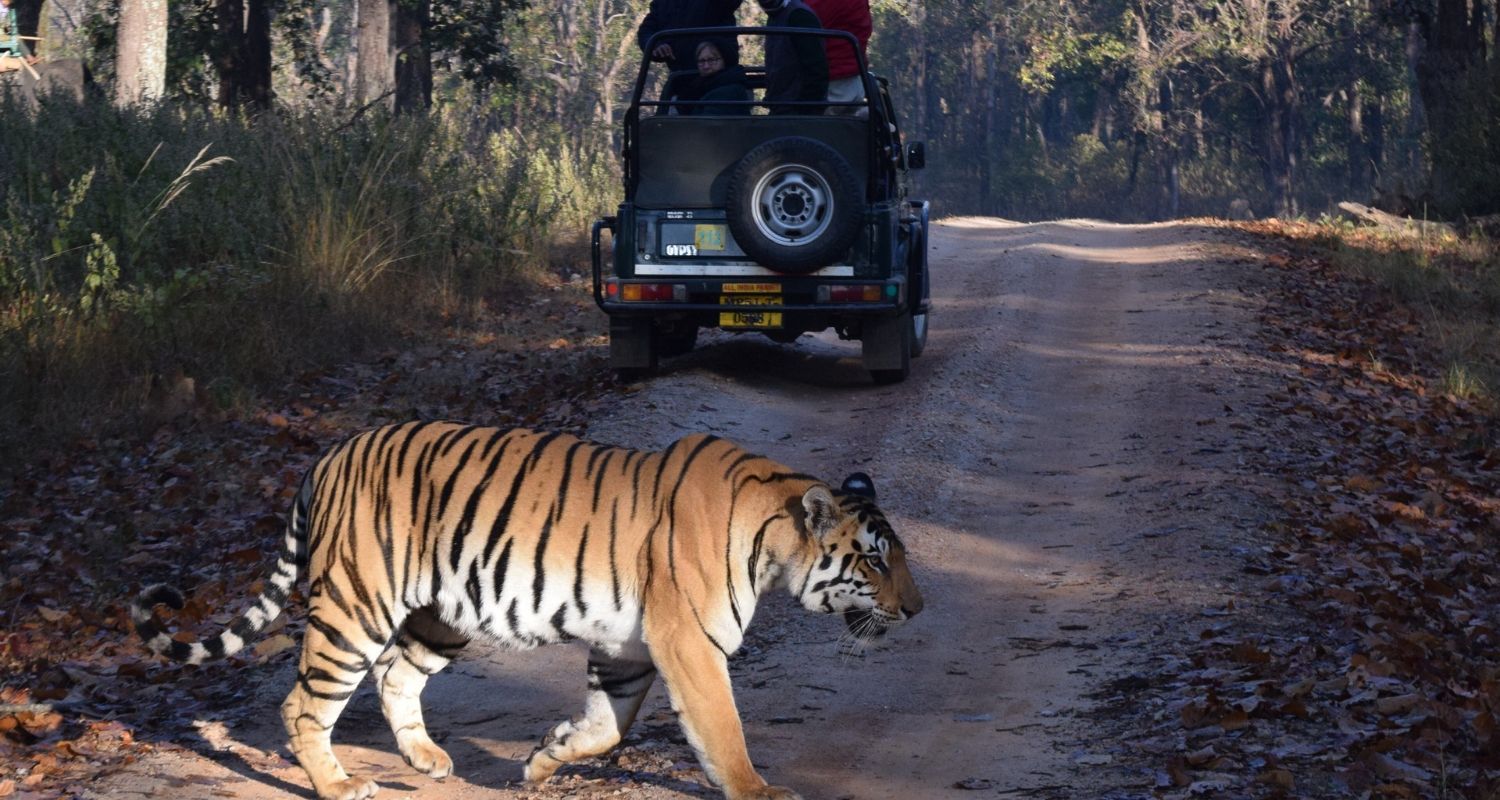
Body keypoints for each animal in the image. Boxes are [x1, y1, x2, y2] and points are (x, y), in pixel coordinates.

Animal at [131, 421, 923, 800]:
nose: (917, 610)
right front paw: (759, 793)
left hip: (440, 615)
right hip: (356, 607)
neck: (774, 535)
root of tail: (325, 457)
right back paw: (338, 785)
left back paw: (427, 759)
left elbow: (606, 728)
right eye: (875, 559)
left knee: (396, 676)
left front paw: (544, 760)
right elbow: (722, 732)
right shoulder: (690, 644)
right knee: (304, 704)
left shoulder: (629, 648)